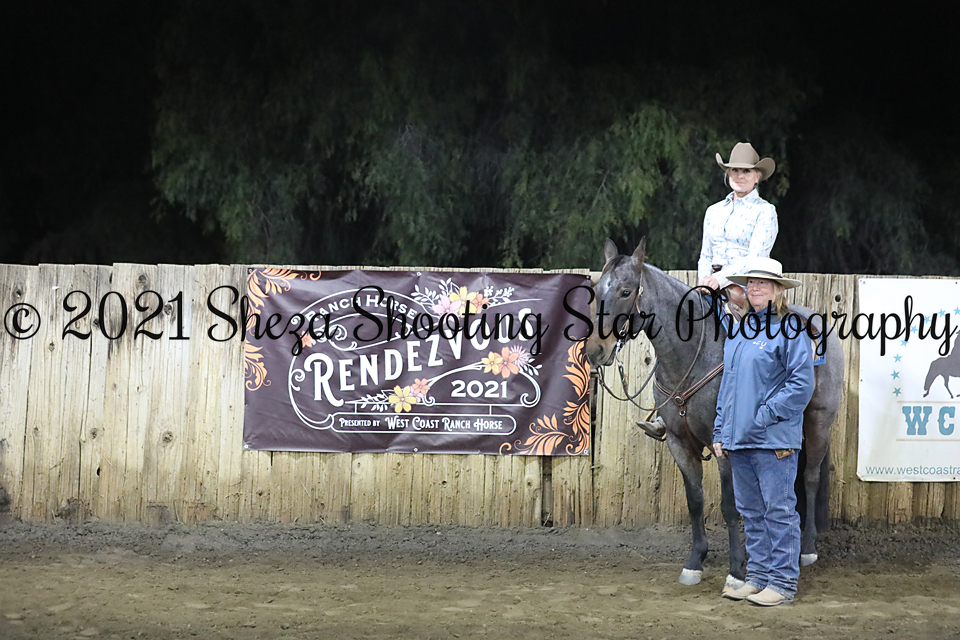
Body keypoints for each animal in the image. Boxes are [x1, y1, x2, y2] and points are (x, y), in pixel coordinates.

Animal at [585, 238, 844, 589]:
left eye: (626, 291)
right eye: (598, 289)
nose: (595, 350)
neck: (693, 355)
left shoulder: (725, 449)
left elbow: (730, 505)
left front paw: (736, 570)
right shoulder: (679, 443)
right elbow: (695, 501)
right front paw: (695, 561)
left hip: (818, 422)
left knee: (811, 477)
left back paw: (807, 549)